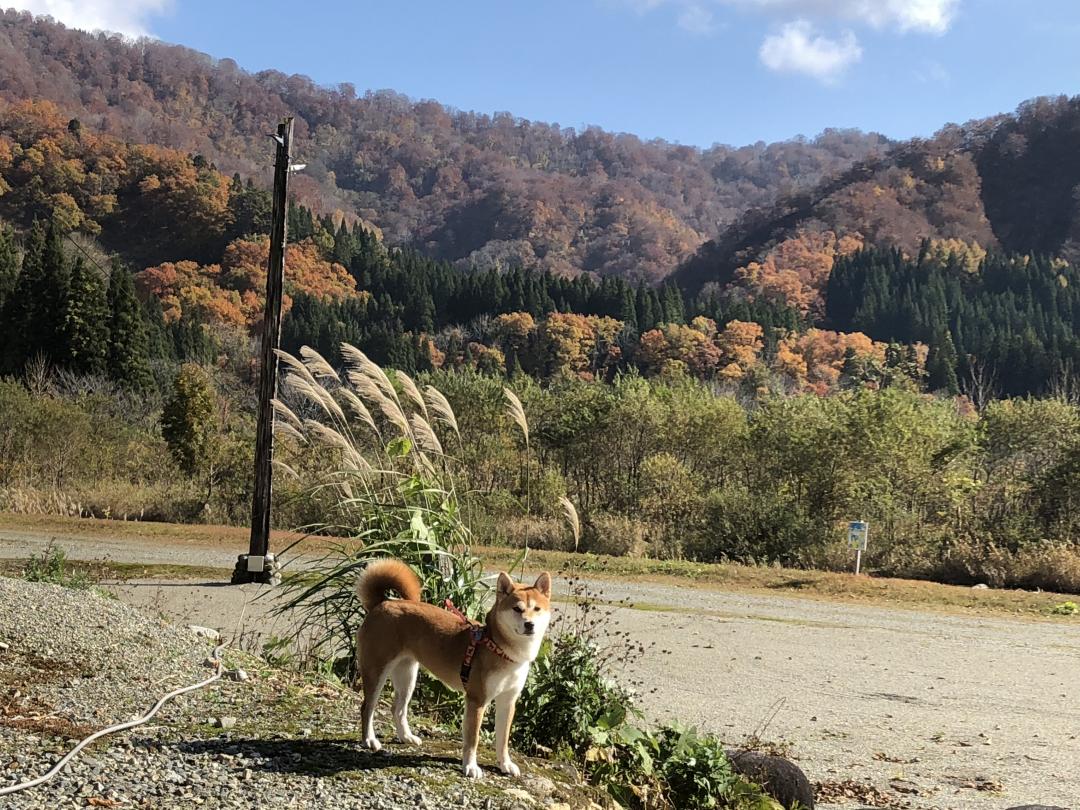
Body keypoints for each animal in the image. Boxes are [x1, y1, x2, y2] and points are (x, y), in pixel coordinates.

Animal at [354, 565, 552, 781]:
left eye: (537, 609)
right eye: (517, 609)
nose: (529, 624)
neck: (501, 649)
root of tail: (382, 604)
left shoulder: (508, 701)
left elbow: (503, 739)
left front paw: (505, 764)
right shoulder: (477, 700)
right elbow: (473, 740)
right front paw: (471, 766)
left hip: (407, 676)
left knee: (397, 709)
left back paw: (406, 737)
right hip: (377, 672)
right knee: (367, 707)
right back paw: (369, 740)